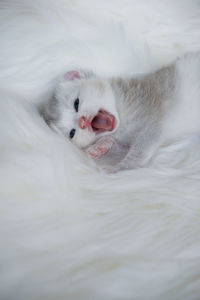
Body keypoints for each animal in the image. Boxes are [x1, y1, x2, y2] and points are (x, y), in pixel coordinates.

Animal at [40, 52, 200, 172]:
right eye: (72, 133)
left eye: (76, 103)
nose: (83, 122)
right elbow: (117, 145)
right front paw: (100, 147)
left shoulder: (151, 117)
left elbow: (141, 150)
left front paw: (119, 167)